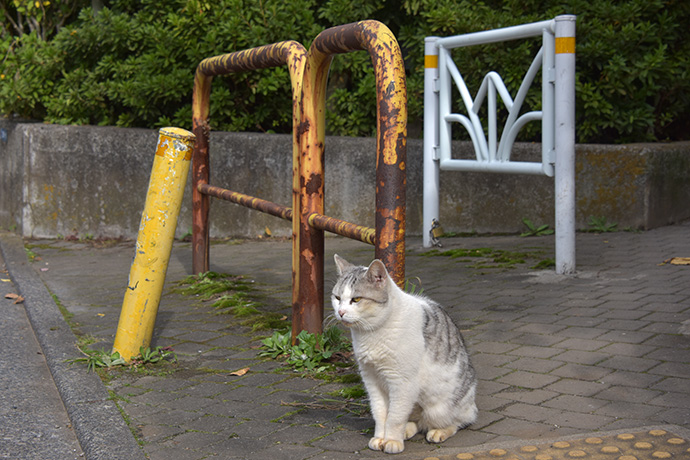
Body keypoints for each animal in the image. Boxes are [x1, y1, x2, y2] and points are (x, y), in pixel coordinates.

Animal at [330, 255, 476, 452]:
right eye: (337, 297)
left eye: (356, 299)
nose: (340, 312)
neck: (372, 333)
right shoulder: (371, 379)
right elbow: (381, 414)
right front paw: (380, 438)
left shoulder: (402, 382)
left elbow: (395, 417)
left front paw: (392, 441)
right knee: (417, 422)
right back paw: (408, 430)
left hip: (441, 407)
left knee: (457, 421)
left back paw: (438, 431)